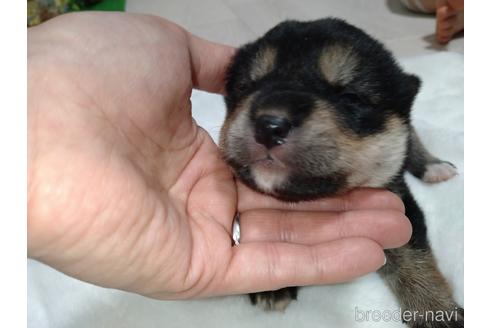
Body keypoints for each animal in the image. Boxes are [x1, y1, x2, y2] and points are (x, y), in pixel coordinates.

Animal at [221, 18, 464, 328]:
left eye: (350, 97)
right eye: (245, 86)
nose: (269, 125)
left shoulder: (398, 202)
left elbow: (413, 252)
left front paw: (436, 311)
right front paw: (272, 286)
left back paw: (433, 166)